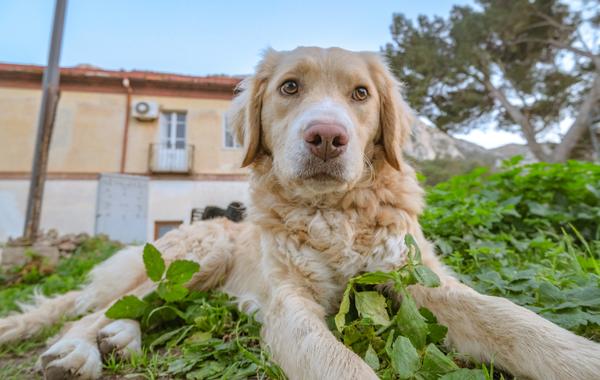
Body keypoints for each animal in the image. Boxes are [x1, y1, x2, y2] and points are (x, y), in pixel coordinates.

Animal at [1, 47, 600, 380]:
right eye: (290, 87)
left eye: (361, 94)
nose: (327, 137)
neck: (334, 214)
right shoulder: (290, 307)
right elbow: (343, 367)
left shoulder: (420, 280)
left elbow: (518, 323)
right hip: (197, 258)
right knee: (97, 310)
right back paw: (81, 349)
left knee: (146, 309)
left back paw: (118, 339)